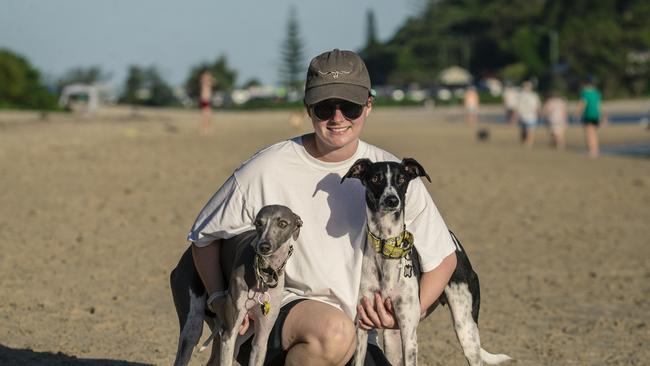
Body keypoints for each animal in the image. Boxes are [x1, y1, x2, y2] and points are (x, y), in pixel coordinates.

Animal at [170, 204, 302, 364]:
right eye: (258, 223)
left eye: (283, 223)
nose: (264, 246)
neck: (263, 273)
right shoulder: (229, 333)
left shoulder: (261, 339)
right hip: (193, 326)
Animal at [342, 159, 508, 366]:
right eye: (375, 178)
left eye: (401, 179)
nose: (392, 200)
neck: (387, 245)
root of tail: (454, 242)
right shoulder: (363, 328)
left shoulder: (409, 334)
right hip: (392, 337)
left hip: (465, 329)